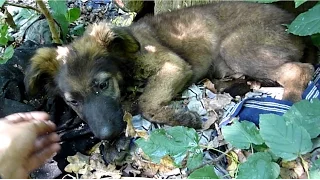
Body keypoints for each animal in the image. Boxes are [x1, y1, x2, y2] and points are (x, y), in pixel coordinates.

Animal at [23, 1, 316, 141]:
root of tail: (290, 21)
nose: (107, 136)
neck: (124, 60)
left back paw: (287, 109)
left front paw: (182, 117)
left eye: (102, 85)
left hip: (235, 47)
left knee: (300, 69)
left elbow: (146, 103)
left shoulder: (174, 64)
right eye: (73, 102)